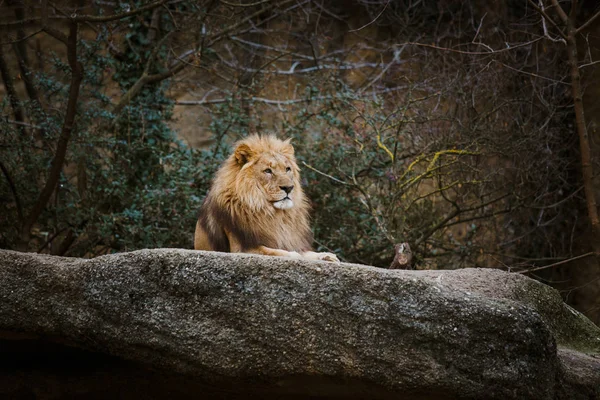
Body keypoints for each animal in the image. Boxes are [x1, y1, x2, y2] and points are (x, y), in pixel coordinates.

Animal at [196, 134, 340, 262]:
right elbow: (274, 251)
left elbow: (304, 251)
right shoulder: (240, 248)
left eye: (287, 169)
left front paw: (326, 255)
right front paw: (295, 255)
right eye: (268, 171)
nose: (289, 188)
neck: (273, 214)